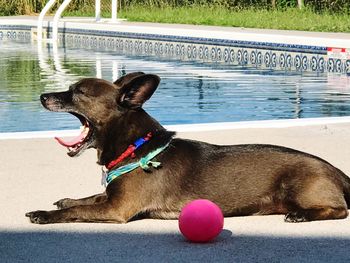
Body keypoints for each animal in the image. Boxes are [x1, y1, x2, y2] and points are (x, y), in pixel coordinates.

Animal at [26, 72, 350, 225]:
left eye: (78, 92)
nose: (42, 96)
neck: (137, 147)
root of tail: (336, 171)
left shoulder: (117, 208)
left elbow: (80, 210)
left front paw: (44, 213)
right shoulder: (111, 198)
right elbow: (88, 198)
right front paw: (66, 199)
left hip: (300, 188)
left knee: (340, 210)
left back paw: (302, 215)